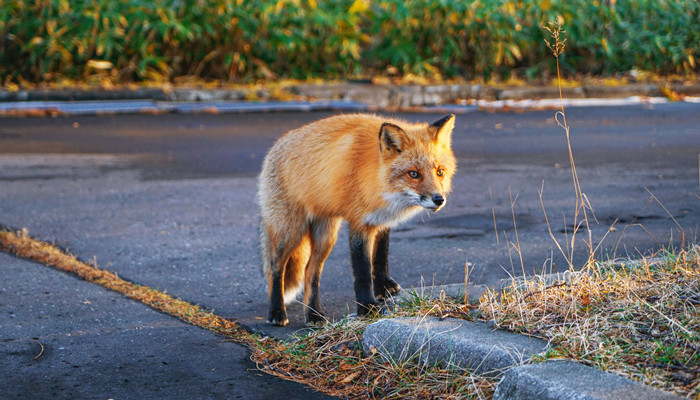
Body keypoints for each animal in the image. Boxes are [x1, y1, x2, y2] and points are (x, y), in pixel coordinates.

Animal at [260, 112, 456, 324]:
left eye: (440, 172)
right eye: (413, 174)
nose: (439, 199)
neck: (379, 180)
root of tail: (276, 145)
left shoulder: (381, 219)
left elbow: (380, 256)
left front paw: (383, 287)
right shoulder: (359, 223)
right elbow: (362, 270)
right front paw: (367, 308)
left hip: (325, 237)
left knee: (310, 272)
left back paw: (313, 315)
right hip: (290, 232)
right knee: (275, 268)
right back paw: (277, 312)